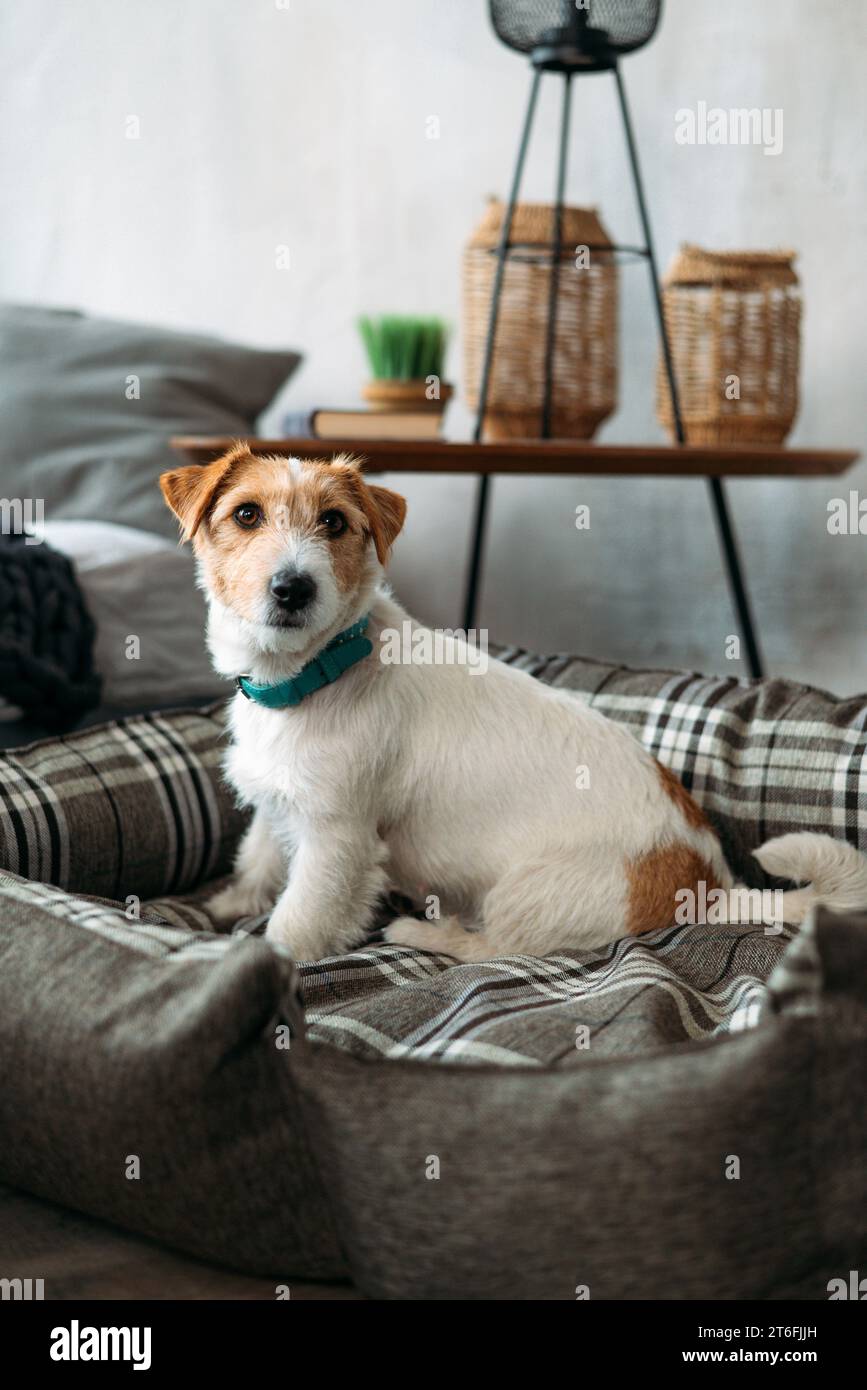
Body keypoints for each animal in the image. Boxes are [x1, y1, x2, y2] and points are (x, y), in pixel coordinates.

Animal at [159, 447, 867, 967]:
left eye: (333, 521)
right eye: (246, 514)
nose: (293, 588)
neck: (312, 674)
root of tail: (709, 886)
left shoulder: (336, 839)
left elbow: (296, 919)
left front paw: (268, 960)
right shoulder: (277, 800)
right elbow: (258, 857)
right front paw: (228, 906)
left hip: (524, 893)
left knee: (495, 951)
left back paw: (423, 934)